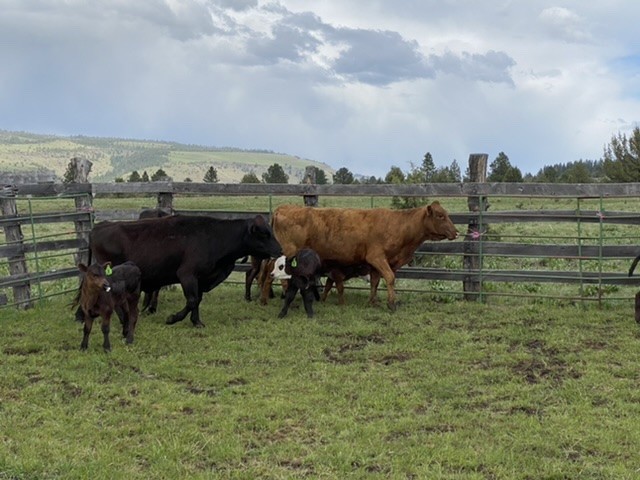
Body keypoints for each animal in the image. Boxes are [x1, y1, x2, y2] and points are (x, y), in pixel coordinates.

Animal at [88, 216, 282, 328]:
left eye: (271, 231)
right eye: (263, 234)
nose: (280, 250)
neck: (215, 236)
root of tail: (98, 227)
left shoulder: (201, 279)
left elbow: (198, 300)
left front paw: (196, 322)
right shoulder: (187, 275)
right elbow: (192, 300)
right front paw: (173, 318)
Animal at [262, 201, 458, 310]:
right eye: (440, 215)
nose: (455, 232)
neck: (398, 225)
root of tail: (282, 208)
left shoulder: (375, 264)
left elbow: (375, 282)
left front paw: (373, 301)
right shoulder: (377, 258)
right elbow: (390, 278)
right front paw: (391, 303)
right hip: (288, 252)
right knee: (279, 274)